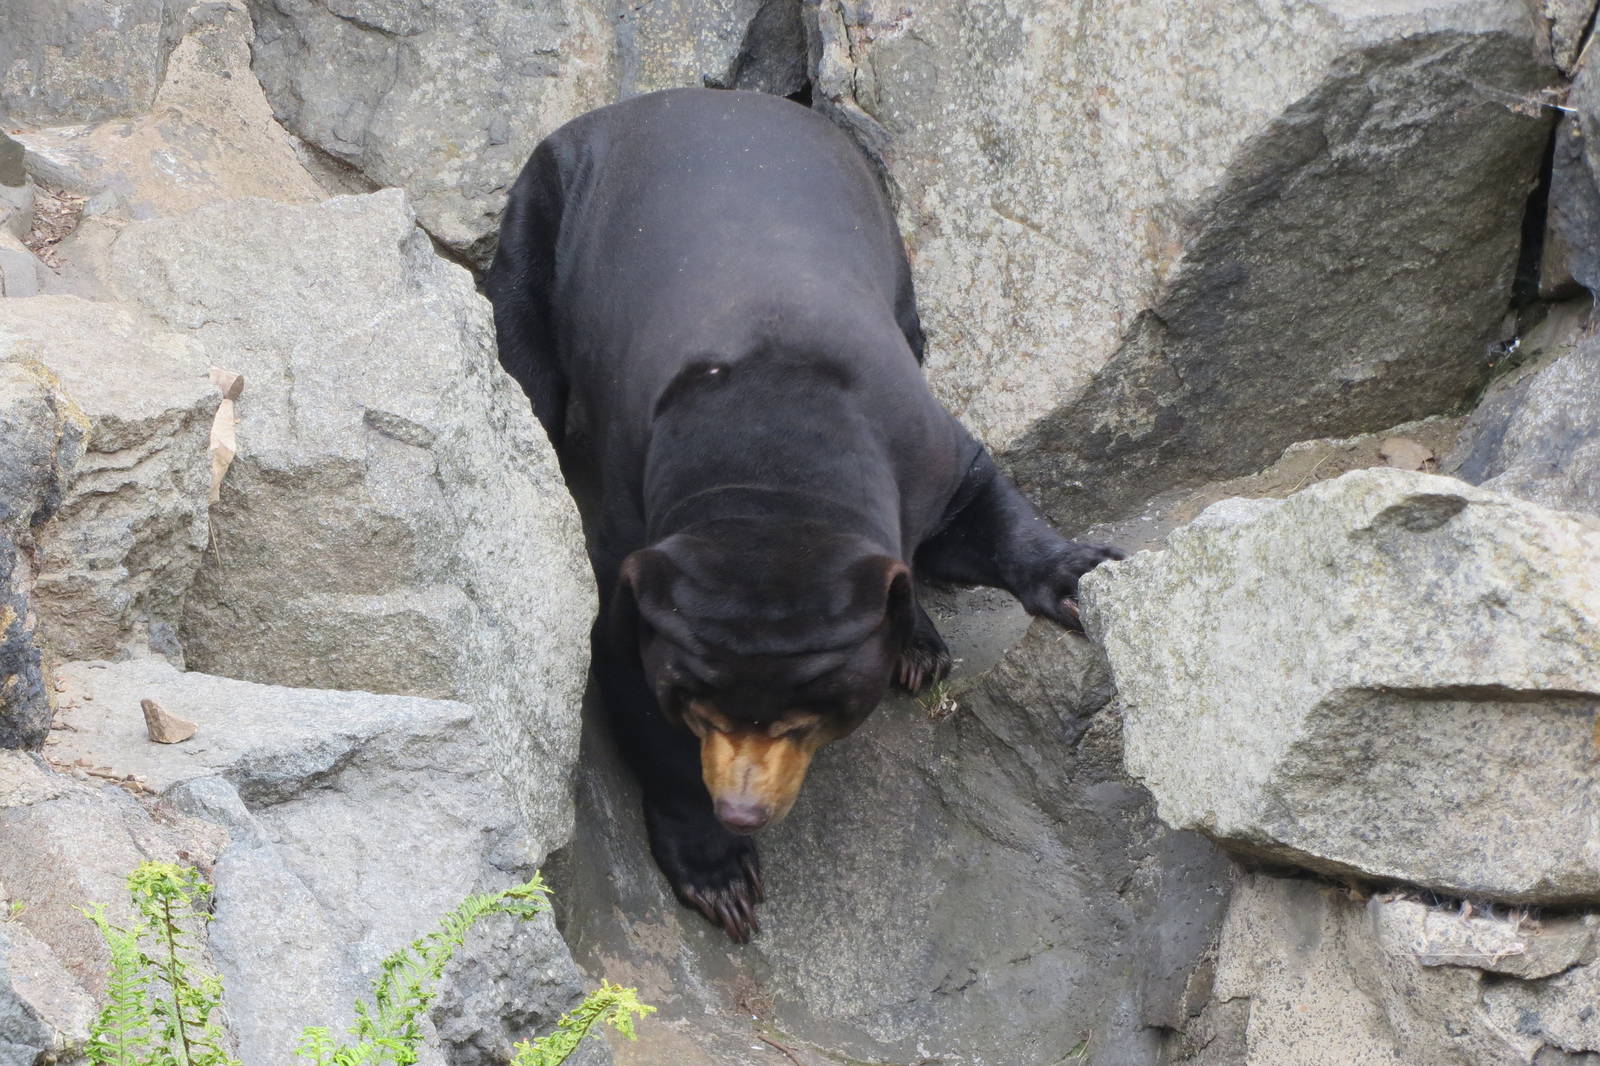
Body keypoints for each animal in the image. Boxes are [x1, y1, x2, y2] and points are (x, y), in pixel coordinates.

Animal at [485, 88, 1121, 942]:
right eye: (699, 705)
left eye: (805, 717)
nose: (744, 809)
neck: (775, 447)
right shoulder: (629, 537)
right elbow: (628, 673)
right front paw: (719, 875)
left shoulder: (916, 441)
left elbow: (976, 505)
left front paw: (1081, 580)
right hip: (537, 218)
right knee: (521, 358)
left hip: (897, 270)